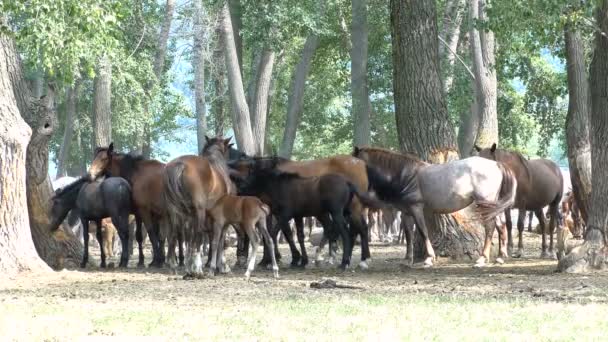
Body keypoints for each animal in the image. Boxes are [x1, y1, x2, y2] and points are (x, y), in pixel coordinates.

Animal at [163, 135, 234, 276]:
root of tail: (181, 165)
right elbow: (218, 239)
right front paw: (221, 266)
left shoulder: (191, 216)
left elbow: (190, 238)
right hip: (199, 211)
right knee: (198, 235)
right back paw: (197, 269)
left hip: (174, 212)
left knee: (174, 235)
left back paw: (175, 266)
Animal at [352, 146, 516, 268]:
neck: (404, 175)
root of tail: (496, 164)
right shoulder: (406, 212)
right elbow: (409, 234)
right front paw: (408, 260)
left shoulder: (417, 208)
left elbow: (423, 231)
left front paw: (429, 258)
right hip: (493, 205)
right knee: (500, 225)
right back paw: (500, 257)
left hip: (484, 203)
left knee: (490, 227)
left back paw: (482, 259)